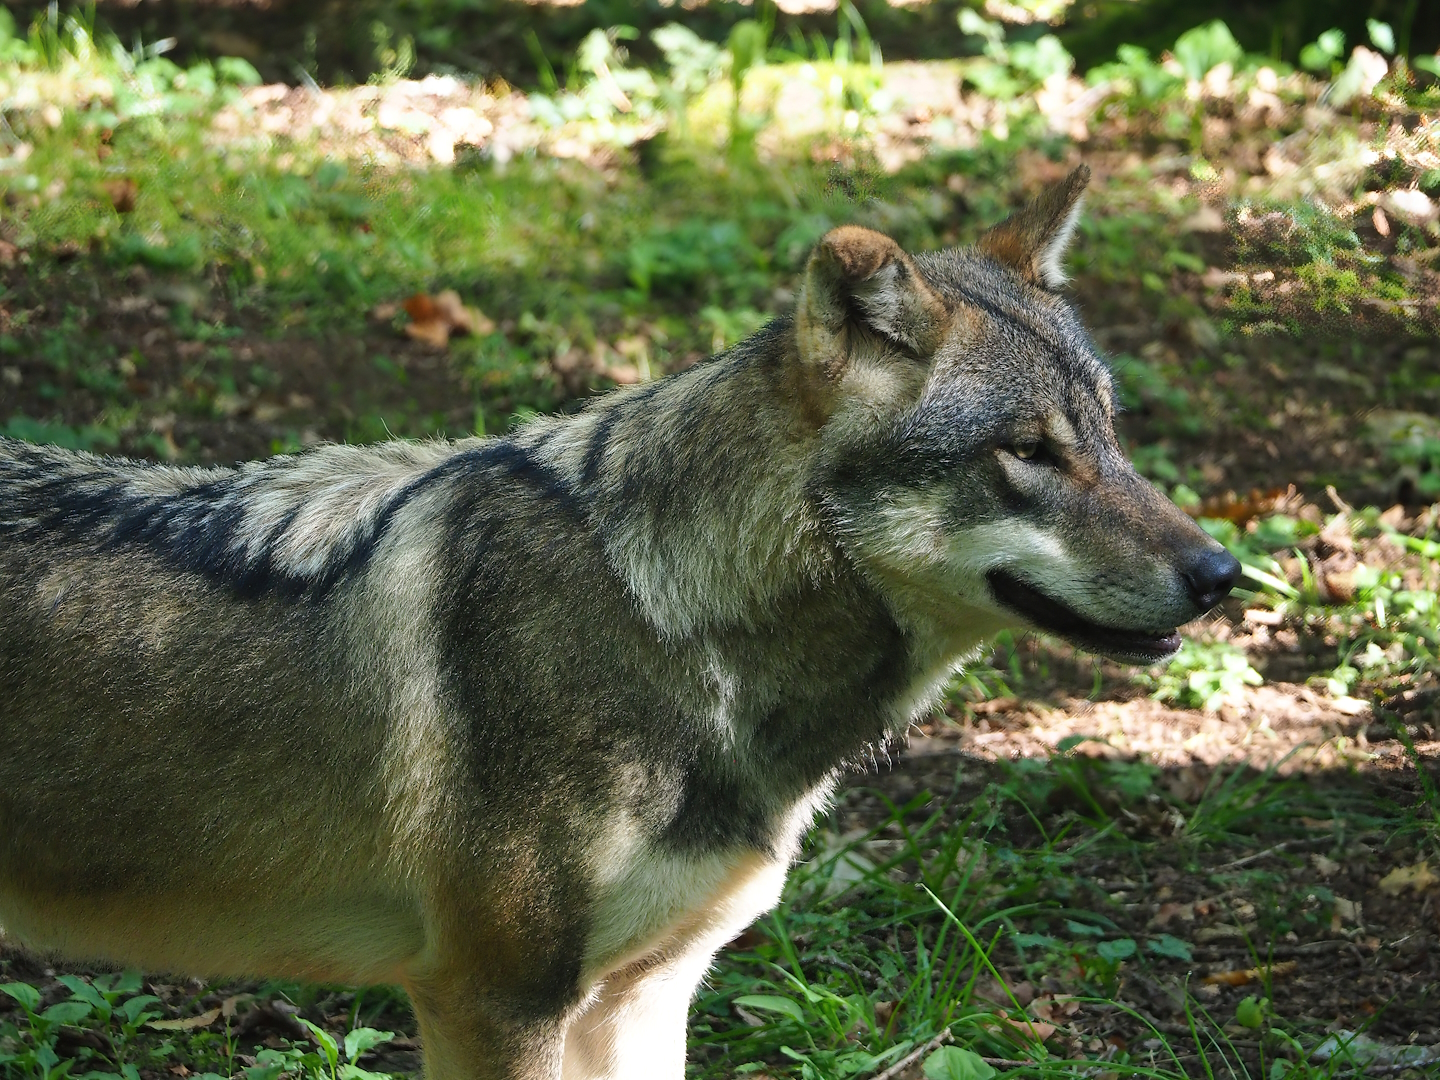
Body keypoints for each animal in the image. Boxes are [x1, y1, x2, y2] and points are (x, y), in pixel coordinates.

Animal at [0, 166, 1238, 1079]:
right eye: (1027, 451)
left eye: (1111, 432)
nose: (1224, 574)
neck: (666, 625)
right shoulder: (496, 1001)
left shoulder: (645, 995)